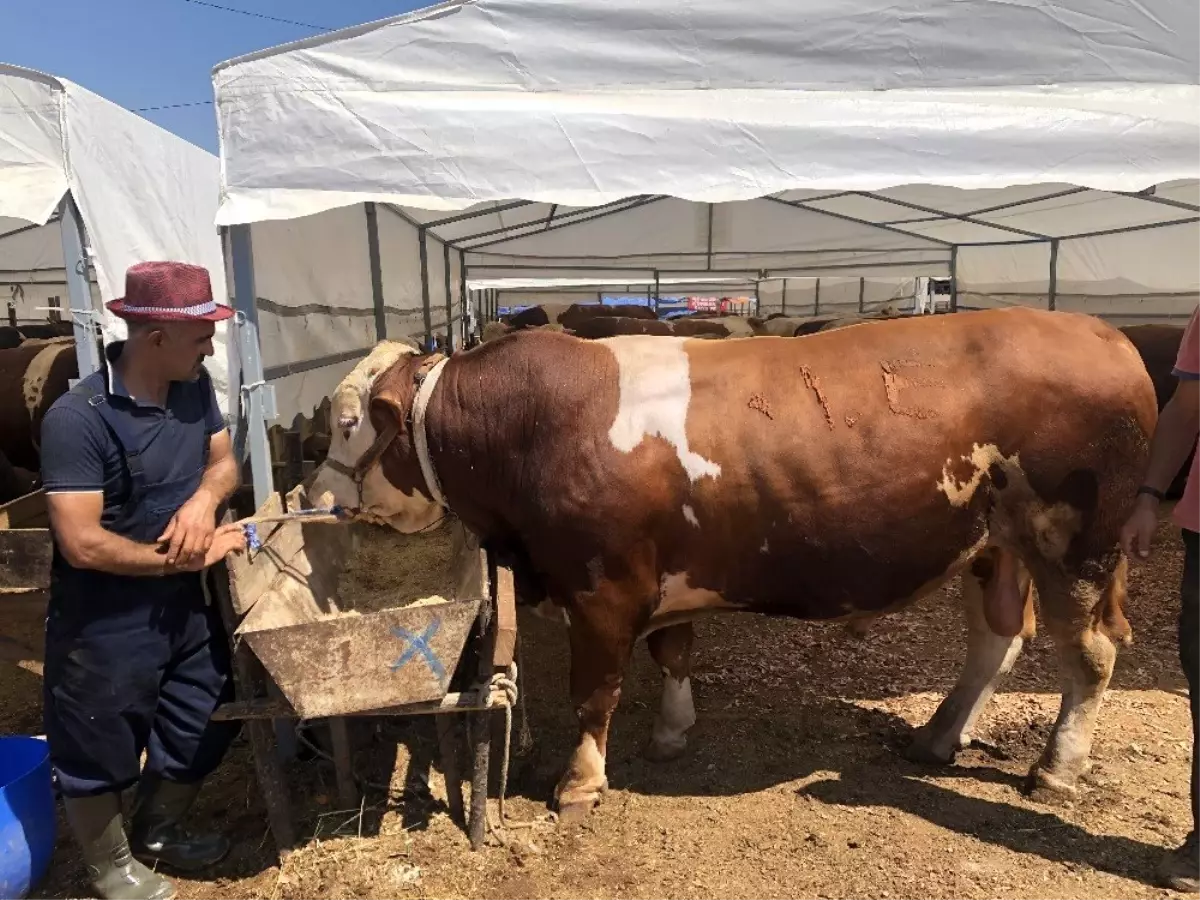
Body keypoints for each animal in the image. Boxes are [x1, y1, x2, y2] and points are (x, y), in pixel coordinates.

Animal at [309, 309, 1152, 816]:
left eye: (348, 423)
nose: (316, 493)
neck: (531, 426)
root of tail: (1100, 332)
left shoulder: (602, 587)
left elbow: (593, 692)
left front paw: (579, 782)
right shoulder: (657, 579)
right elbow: (674, 650)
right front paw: (673, 730)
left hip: (1076, 545)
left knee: (1088, 657)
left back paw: (1056, 767)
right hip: (992, 546)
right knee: (995, 640)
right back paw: (939, 735)